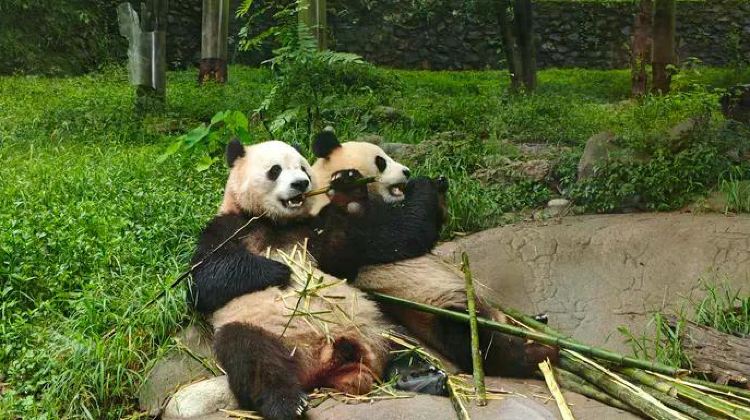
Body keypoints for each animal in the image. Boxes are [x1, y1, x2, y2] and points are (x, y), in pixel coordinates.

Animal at [189, 139, 451, 419]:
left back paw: (418, 374)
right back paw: (286, 403)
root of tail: (326, 361)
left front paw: (350, 190)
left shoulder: (313, 231)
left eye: (303, 168)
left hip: (371, 322)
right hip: (264, 330)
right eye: (275, 170)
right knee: (250, 356)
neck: (276, 222)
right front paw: (279, 270)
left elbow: (359, 246)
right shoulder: (230, 227)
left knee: (399, 340)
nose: (300, 184)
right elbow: (205, 280)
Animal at [310, 131, 559, 377]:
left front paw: (440, 186)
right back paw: (534, 353)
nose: (407, 171)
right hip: (437, 310)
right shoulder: (340, 226)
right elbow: (399, 233)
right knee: (474, 342)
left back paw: (536, 323)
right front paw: (425, 184)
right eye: (381, 161)